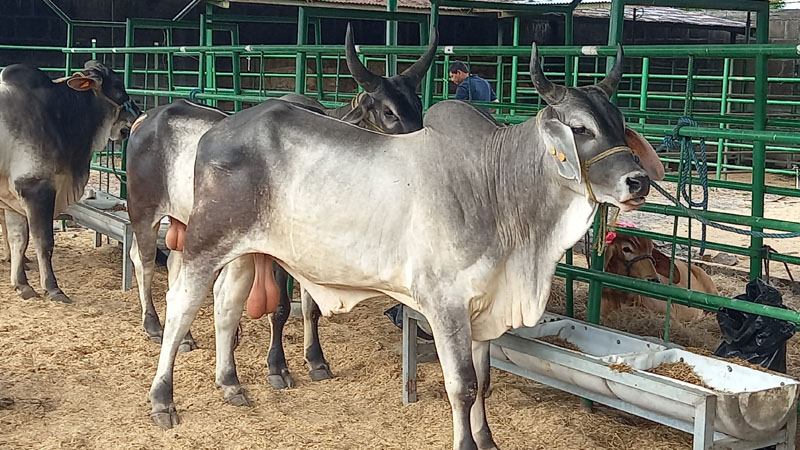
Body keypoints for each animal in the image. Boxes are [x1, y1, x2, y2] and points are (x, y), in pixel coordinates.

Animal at [0, 60, 138, 302]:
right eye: (118, 87)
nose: (139, 113)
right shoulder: (37, 189)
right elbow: (44, 242)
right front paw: (53, 288)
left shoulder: (12, 198)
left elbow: (19, 241)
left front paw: (22, 286)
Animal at [126, 26, 438, 396]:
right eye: (388, 112)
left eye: (418, 107)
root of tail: (149, 116)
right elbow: (281, 306)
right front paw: (278, 366)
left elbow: (311, 308)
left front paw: (316, 360)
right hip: (144, 210)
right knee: (143, 260)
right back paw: (152, 325)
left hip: (184, 221)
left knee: (176, 268)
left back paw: (186, 336)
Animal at [145, 43, 664, 450]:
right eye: (579, 128)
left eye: (618, 121)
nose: (637, 181)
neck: (495, 187)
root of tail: (217, 129)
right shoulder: (445, 303)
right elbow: (463, 385)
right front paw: (466, 443)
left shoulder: (484, 306)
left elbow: (486, 381)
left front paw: (488, 439)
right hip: (207, 240)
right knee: (181, 304)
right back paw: (162, 399)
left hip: (248, 252)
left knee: (225, 303)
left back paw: (230, 384)